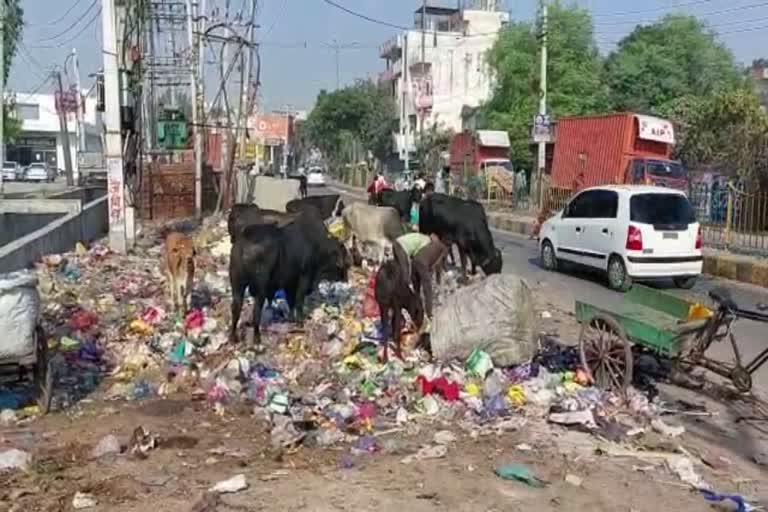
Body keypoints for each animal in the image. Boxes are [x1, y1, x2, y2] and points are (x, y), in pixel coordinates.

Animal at [226, 212, 350, 344]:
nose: (346, 279)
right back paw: (257, 337)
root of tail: (244, 242)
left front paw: (291, 319)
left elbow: (291, 301)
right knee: (256, 311)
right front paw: (300, 322)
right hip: (260, 288)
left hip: (237, 285)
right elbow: (298, 301)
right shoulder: (304, 277)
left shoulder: (289, 282)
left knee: (236, 308)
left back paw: (233, 337)